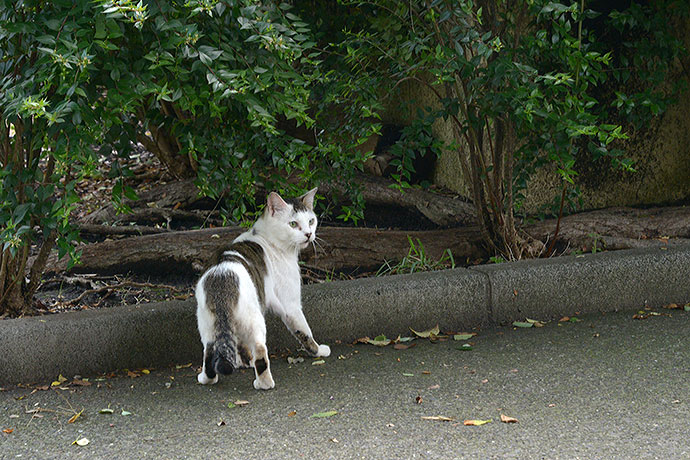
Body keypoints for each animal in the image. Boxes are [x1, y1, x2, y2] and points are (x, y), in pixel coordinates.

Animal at [195, 187, 332, 388]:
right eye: (293, 224)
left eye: (311, 221)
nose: (309, 234)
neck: (269, 239)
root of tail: (222, 278)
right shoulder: (290, 306)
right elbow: (305, 332)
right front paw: (319, 351)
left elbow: (241, 345)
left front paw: (245, 361)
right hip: (255, 319)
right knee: (260, 350)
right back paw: (264, 383)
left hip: (208, 327)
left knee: (209, 353)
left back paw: (206, 379)